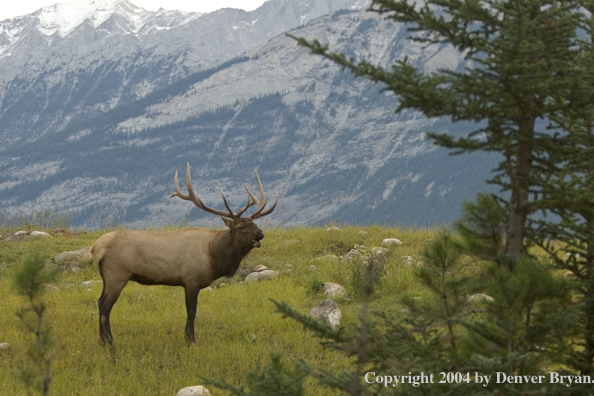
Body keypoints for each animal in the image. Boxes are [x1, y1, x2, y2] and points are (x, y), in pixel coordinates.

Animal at [89, 163, 278, 344]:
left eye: (255, 224)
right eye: (241, 227)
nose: (261, 233)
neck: (214, 256)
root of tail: (95, 247)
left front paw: (187, 337)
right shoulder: (191, 279)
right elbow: (192, 312)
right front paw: (191, 340)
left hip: (107, 277)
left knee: (99, 302)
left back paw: (101, 341)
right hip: (117, 274)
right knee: (105, 306)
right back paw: (110, 343)